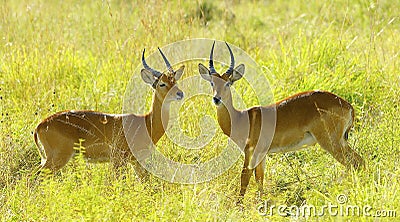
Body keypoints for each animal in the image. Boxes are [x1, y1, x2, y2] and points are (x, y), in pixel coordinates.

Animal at [34, 48, 184, 179]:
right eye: (162, 84)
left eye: (174, 81)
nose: (180, 93)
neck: (146, 123)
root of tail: (40, 125)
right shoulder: (119, 160)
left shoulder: (136, 163)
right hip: (57, 158)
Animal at [198, 41, 364, 201]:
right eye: (212, 83)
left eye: (228, 83)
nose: (216, 99)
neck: (241, 118)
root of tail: (347, 105)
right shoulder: (262, 154)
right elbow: (259, 179)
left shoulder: (250, 152)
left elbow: (244, 178)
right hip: (340, 142)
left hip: (331, 143)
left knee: (356, 163)